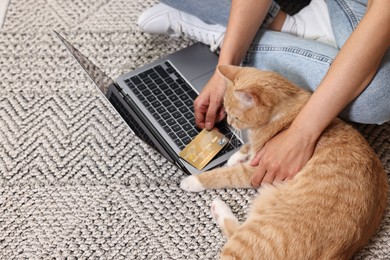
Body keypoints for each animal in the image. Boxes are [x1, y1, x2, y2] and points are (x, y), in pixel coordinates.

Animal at [180, 66, 386, 258]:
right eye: (226, 111)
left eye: (235, 116)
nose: (229, 122)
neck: (283, 116)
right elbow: (248, 147)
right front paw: (234, 157)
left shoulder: (257, 169)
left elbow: (224, 174)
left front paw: (193, 181)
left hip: (256, 233)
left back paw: (218, 207)